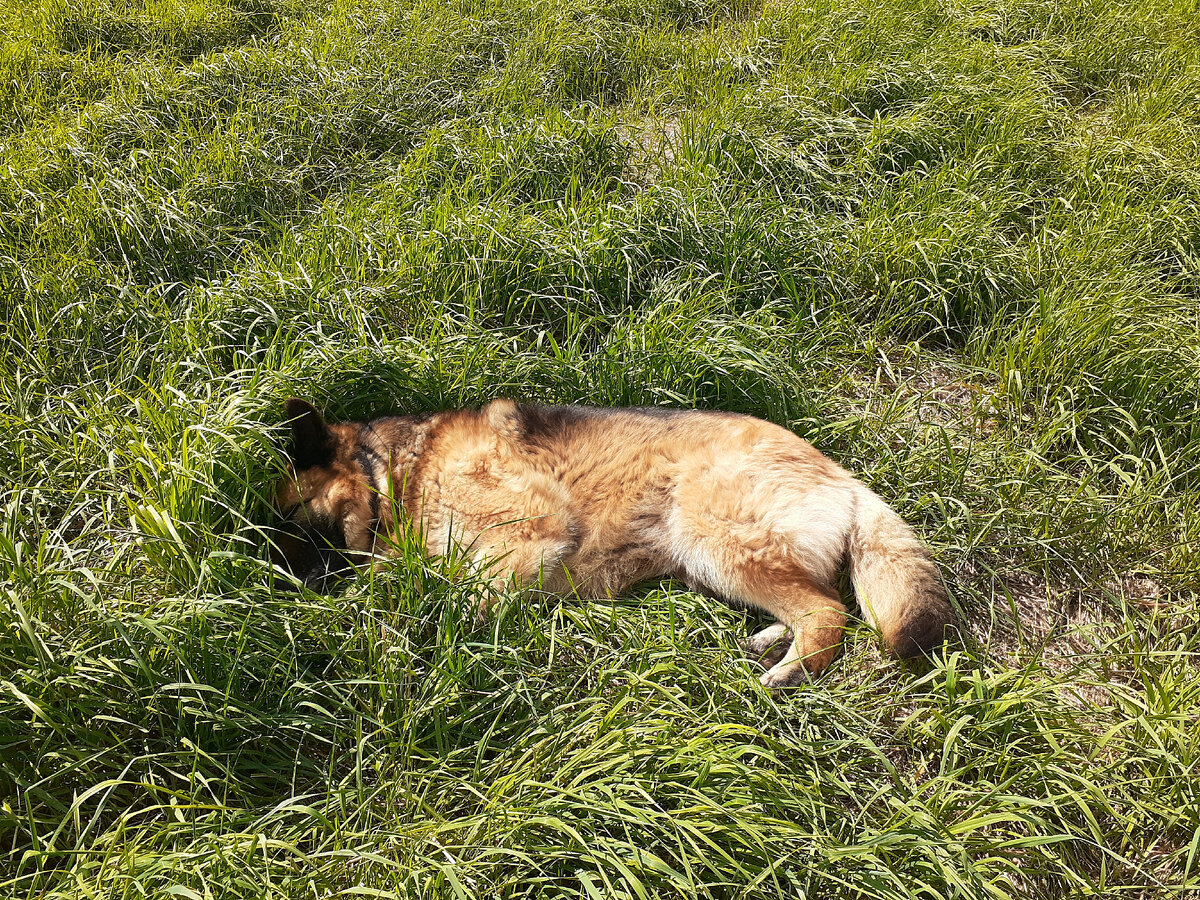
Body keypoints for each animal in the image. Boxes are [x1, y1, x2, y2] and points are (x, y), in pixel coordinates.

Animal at [272, 398, 955, 686]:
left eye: (295, 523)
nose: (289, 594)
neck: (401, 472)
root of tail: (844, 477)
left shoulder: (531, 530)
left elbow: (452, 593)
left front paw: (421, 634)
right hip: (710, 560)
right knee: (809, 605)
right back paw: (768, 641)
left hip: (712, 536)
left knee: (828, 612)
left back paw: (786, 672)